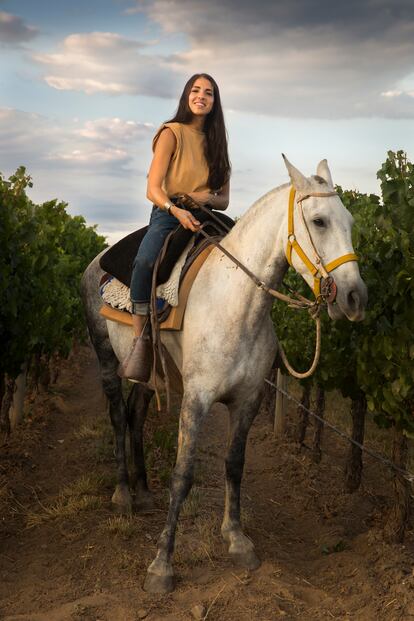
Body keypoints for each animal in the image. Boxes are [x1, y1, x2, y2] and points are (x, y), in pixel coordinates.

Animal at [81, 156, 368, 592]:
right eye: (319, 221)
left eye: (350, 222)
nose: (355, 297)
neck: (236, 304)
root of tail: (94, 264)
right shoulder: (196, 399)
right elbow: (183, 474)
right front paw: (161, 565)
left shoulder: (248, 399)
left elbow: (234, 464)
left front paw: (237, 540)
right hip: (107, 358)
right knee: (117, 415)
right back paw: (124, 495)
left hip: (151, 374)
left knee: (136, 415)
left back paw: (144, 492)